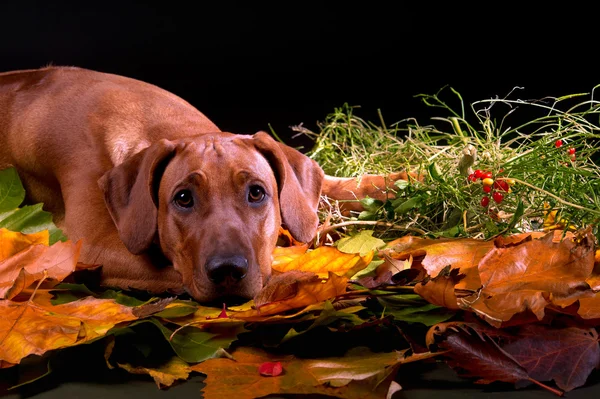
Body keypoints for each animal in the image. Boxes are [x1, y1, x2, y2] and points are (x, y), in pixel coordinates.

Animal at [0, 66, 404, 304]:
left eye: (256, 192)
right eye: (183, 198)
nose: (227, 271)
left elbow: (342, 187)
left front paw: (407, 182)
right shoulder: (96, 245)